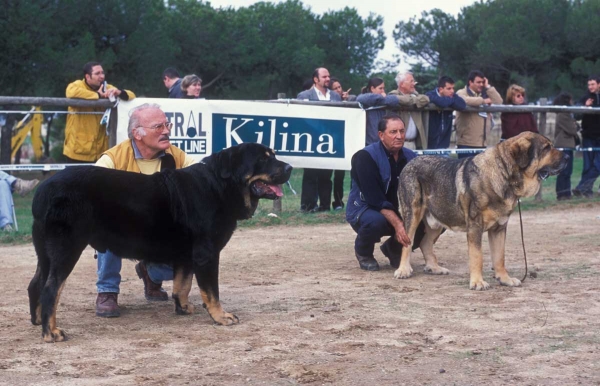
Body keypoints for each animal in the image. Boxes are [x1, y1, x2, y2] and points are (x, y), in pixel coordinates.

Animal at [29, 142, 292, 340]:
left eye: (274, 155)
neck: (220, 186)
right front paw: (220, 316)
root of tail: (42, 190)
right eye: (263, 159)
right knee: (51, 288)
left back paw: (37, 321)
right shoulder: (206, 254)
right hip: (67, 248)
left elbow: (183, 285)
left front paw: (182, 308)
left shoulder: (187, 255)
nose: (289, 167)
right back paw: (51, 332)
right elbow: (211, 291)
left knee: (35, 284)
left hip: (45, 252)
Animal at [394, 132, 568, 290]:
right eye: (546, 148)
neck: (504, 175)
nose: (567, 156)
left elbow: (499, 257)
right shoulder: (475, 227)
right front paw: (477, 282)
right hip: (413, 214)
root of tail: (410, 162)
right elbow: (477, 256)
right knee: (407, 243)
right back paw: (403, 270)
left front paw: (505, 279)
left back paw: (434, 268)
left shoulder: (499, 229)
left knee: (425, 242)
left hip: (438, 220)